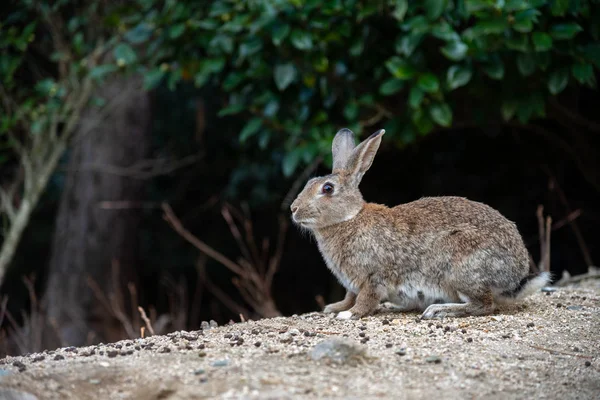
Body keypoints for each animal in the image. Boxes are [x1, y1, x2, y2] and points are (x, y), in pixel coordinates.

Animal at [288, 130, 552, 320]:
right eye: (310, 182)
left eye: (327, 189)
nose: (293, 209)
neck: (350, 217)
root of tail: (516, 273)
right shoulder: (352, 284)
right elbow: (349, 296)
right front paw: (334, 308)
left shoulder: (373, 277)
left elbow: (365, 300)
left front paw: (348, 314)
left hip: (462, 267)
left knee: (484, 305)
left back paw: (439, 311)